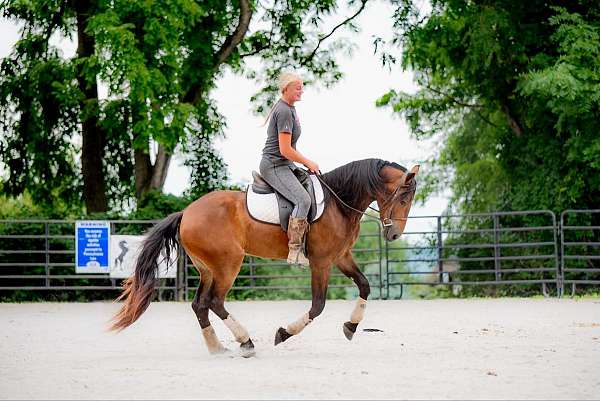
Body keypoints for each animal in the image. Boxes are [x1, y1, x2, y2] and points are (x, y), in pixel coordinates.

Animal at [112, 158, 420, 354]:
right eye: (404, 198)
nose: (394, 235)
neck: (338, 202)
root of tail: (186, 213)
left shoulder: (341, 256)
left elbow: (365, 286)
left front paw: (351, 326)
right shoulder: (321, 263)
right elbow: (318, 306)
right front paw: (284, 333)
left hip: (208, 269)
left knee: (200, 304)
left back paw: (217, 347)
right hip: (228, 265)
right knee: (214, 302)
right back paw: (245, 342)